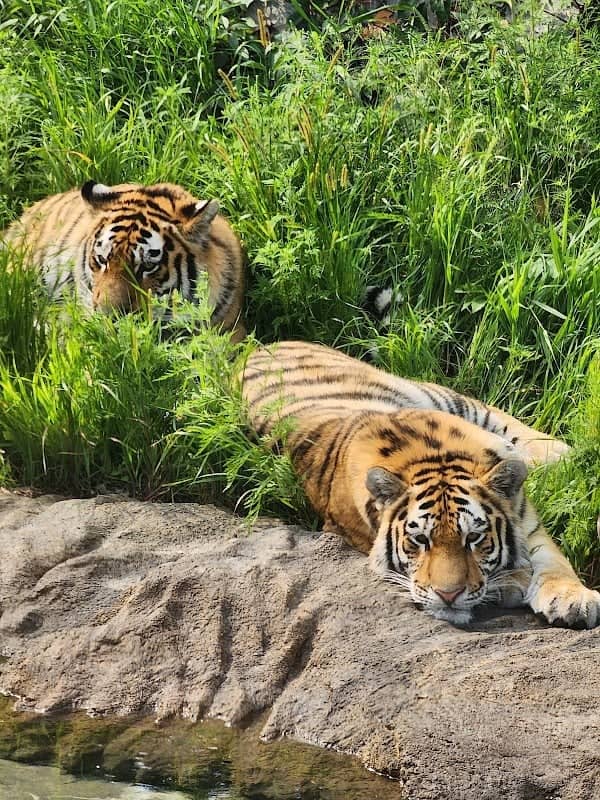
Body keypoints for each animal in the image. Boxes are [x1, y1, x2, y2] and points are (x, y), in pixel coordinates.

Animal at [241, 341, 600, 628]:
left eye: (474, 537)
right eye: (419, 540)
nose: (448, 595)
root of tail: (255, 346)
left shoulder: (526, 520)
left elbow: (555, 562)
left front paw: (575, 600)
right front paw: (514, 580)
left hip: (438, 394)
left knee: (503, 418)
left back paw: (570, 455)